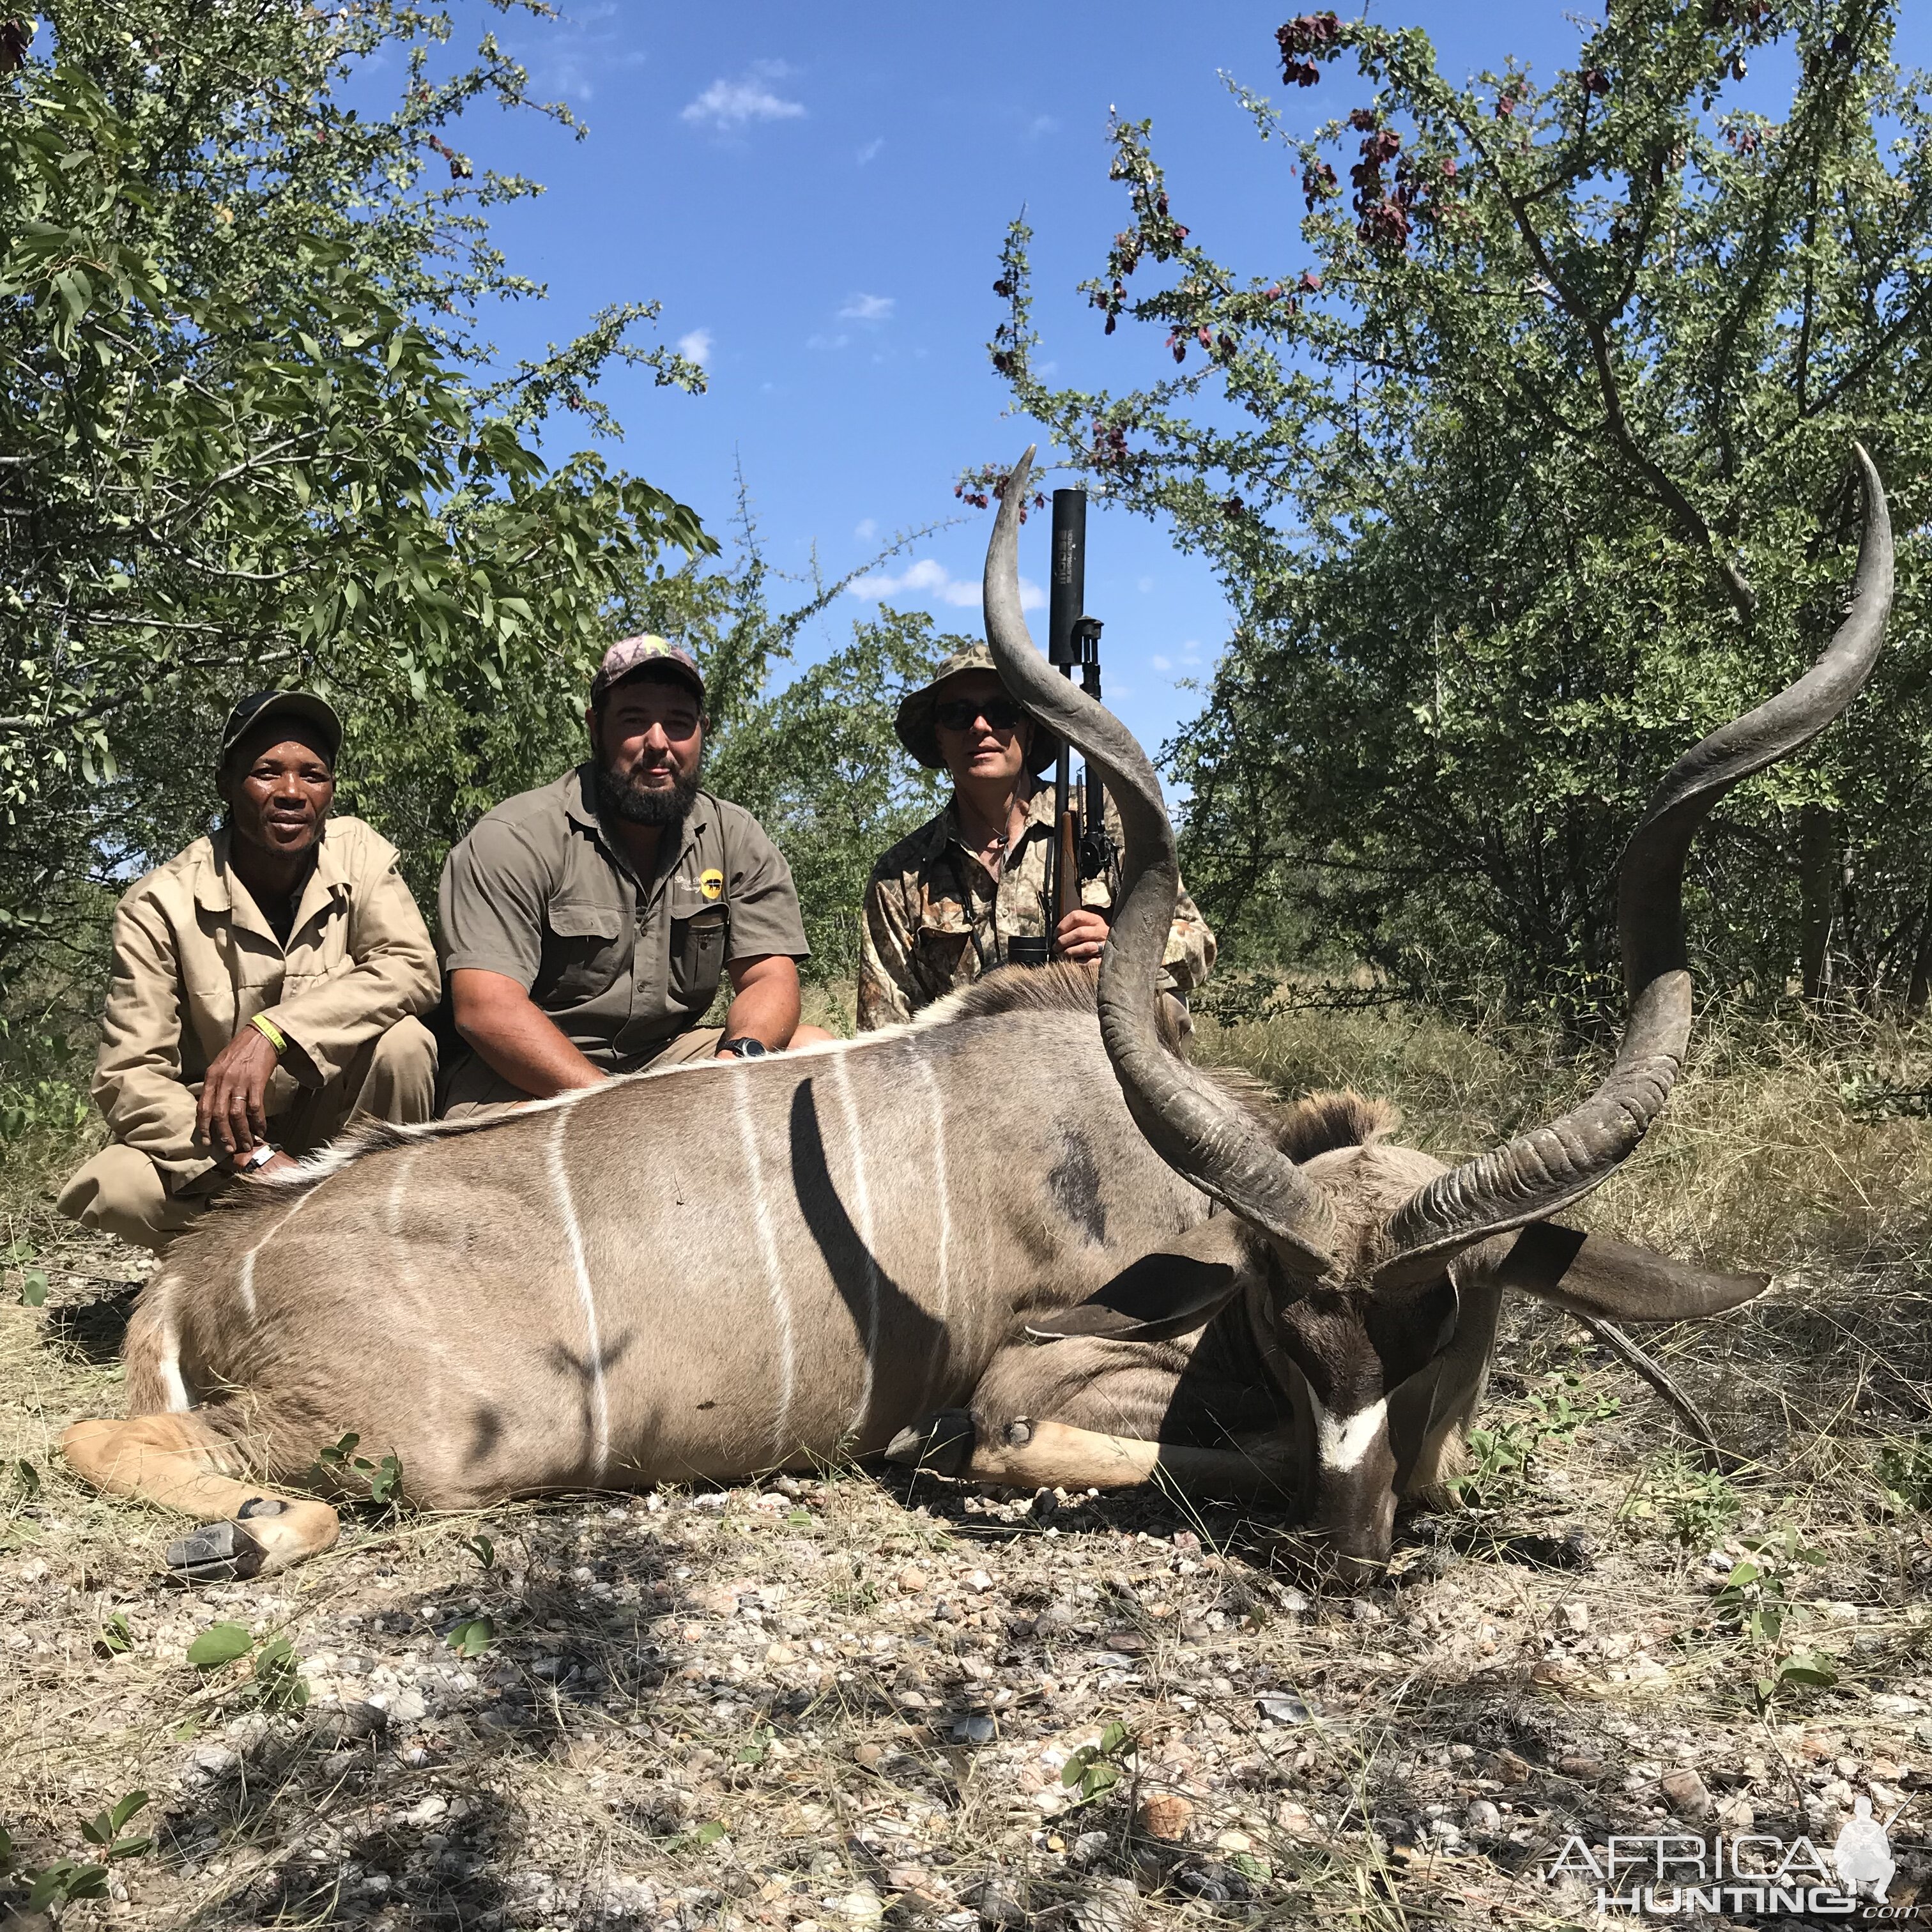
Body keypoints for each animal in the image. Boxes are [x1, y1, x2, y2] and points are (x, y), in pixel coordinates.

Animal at [56, 452, 1885, 1584]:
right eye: (1282, 1314)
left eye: (1454, 1314)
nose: (1356, 1547)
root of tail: (206, 1268)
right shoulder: (1062, 1374)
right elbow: (1084, 1443)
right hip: (404, 1446)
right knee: (127, 1440)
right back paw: (249, 1531)